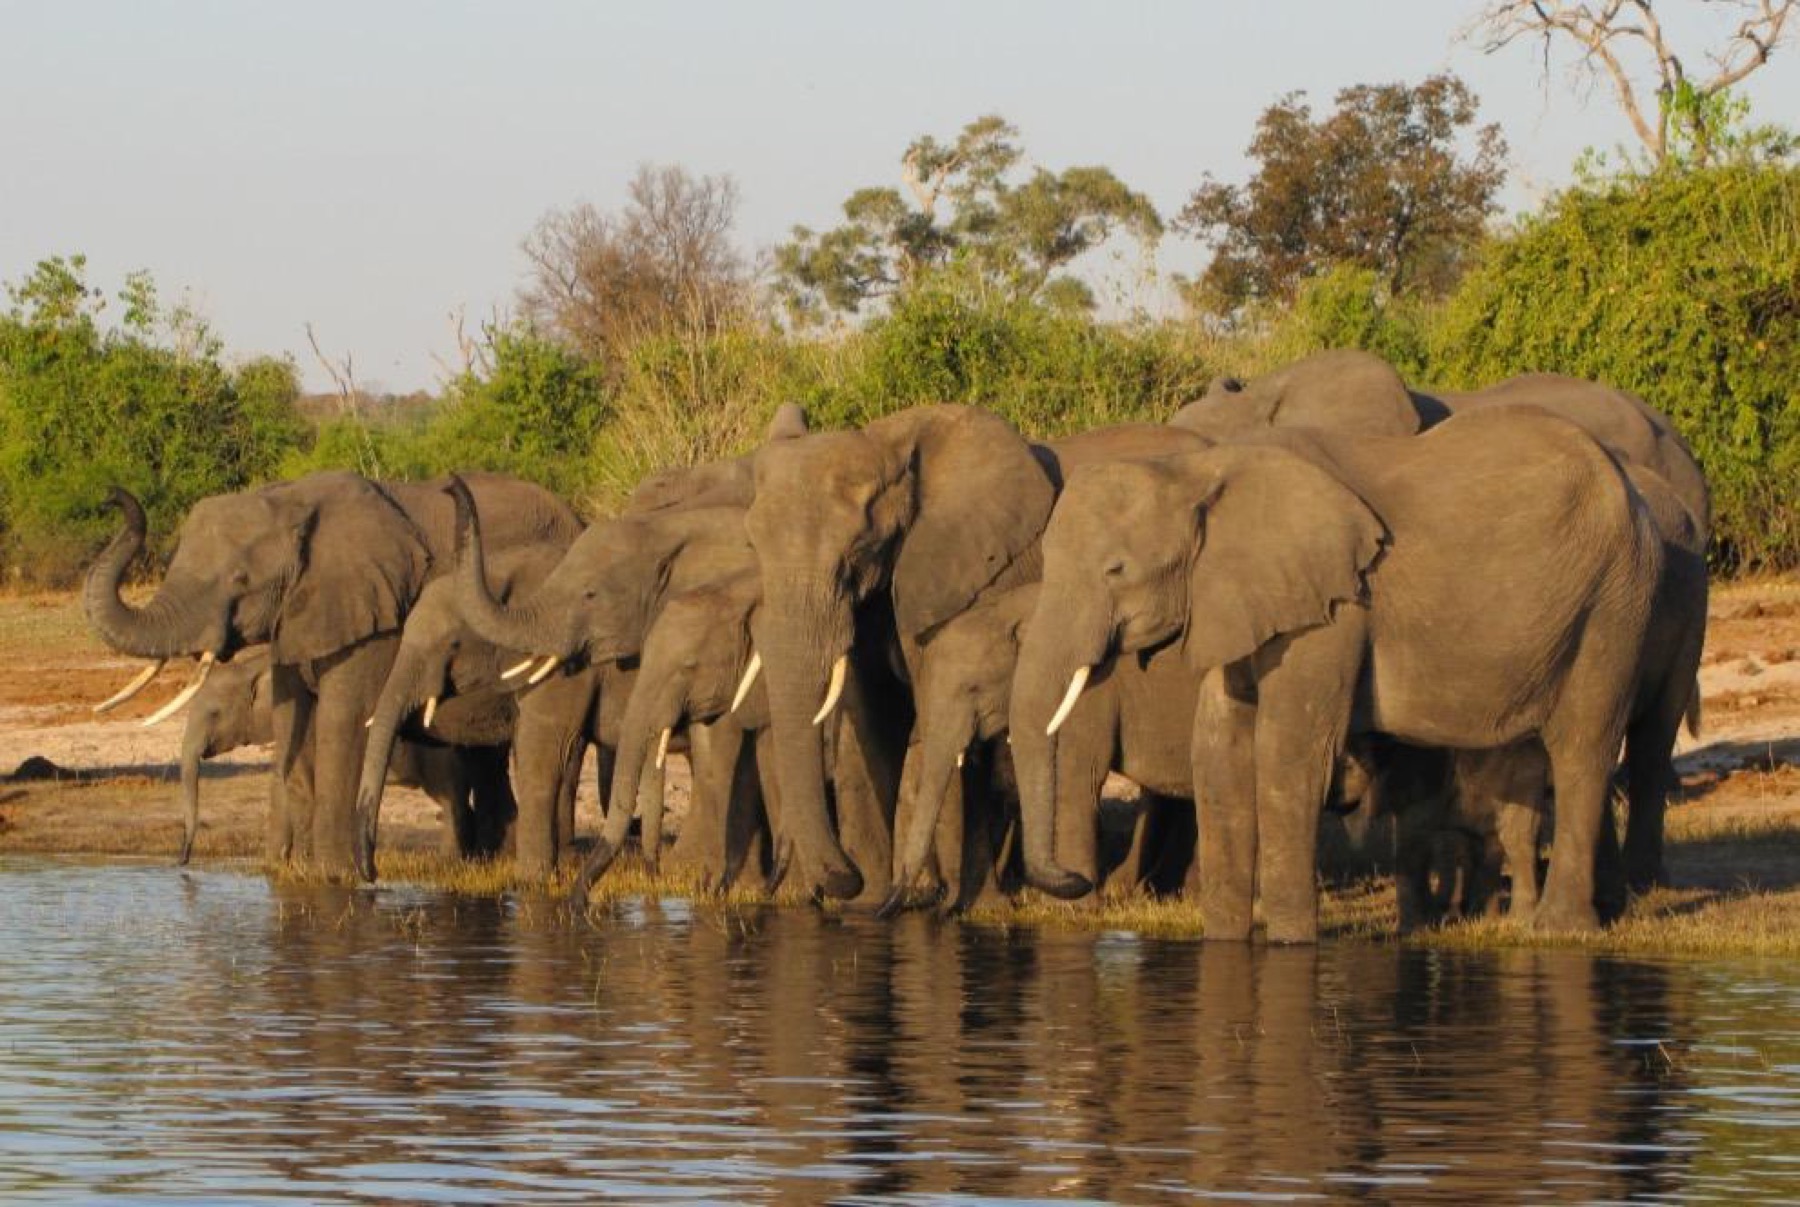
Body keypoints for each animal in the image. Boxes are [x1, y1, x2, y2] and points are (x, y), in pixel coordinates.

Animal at [172, 645, 514, 868]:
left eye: (214, 714)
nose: (183, 860)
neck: (253, 665)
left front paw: (279, 867)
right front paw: (276, 868)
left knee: (451, 800)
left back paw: (450, 864)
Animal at [1017, 405, 1665, 940]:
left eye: (1116, 570)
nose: (1077, 880)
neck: (1198, 472)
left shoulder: (1336, 607)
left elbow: (1287, 750)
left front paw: (1290, 944)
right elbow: (1221, 747)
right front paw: (1224, 944)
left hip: (1616, 600)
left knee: (1583, 748)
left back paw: (1561, 931)